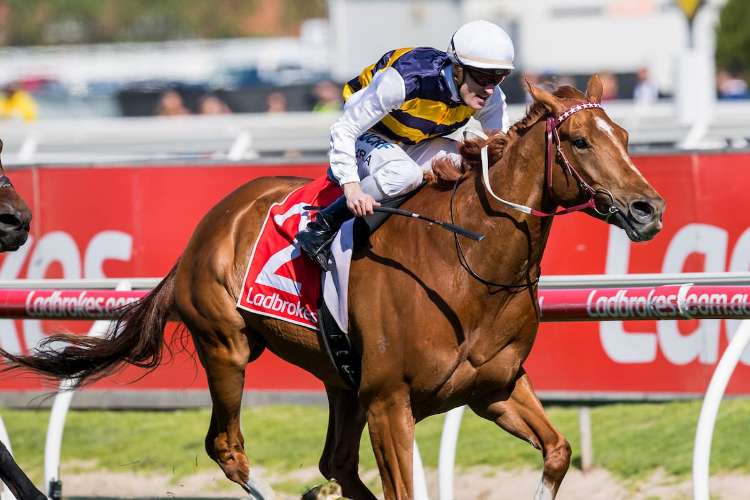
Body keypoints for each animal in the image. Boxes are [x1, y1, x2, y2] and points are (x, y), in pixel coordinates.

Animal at [0, 76, 664, 499]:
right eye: (580, 141)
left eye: (627, 137)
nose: (648, 208)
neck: (469, 264)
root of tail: (208, 228)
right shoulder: (391, 403)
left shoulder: (494, 388)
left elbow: (557, 451)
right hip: (227, 347)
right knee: (228, 449)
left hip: (340, 380)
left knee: (335, 463)